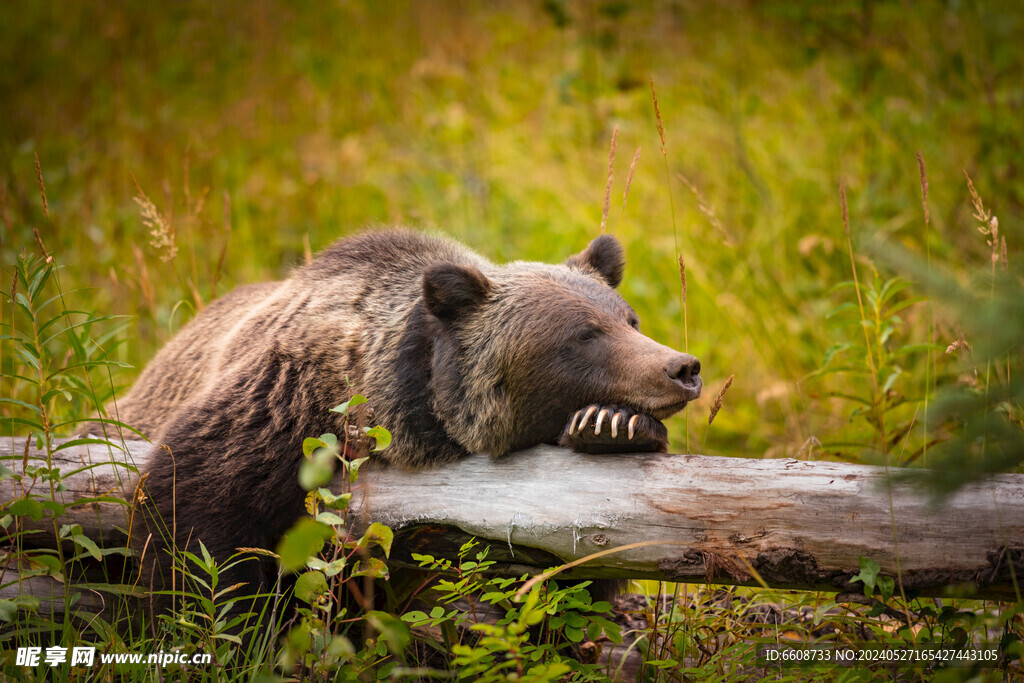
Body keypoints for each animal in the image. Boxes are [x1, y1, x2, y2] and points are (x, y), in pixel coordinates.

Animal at [115, 230, 702, 619]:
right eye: (584, 334)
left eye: (629, 319)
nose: (682, 367)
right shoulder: (283, 405)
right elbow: (194, 509)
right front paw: (226, 621)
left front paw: (612, 426)